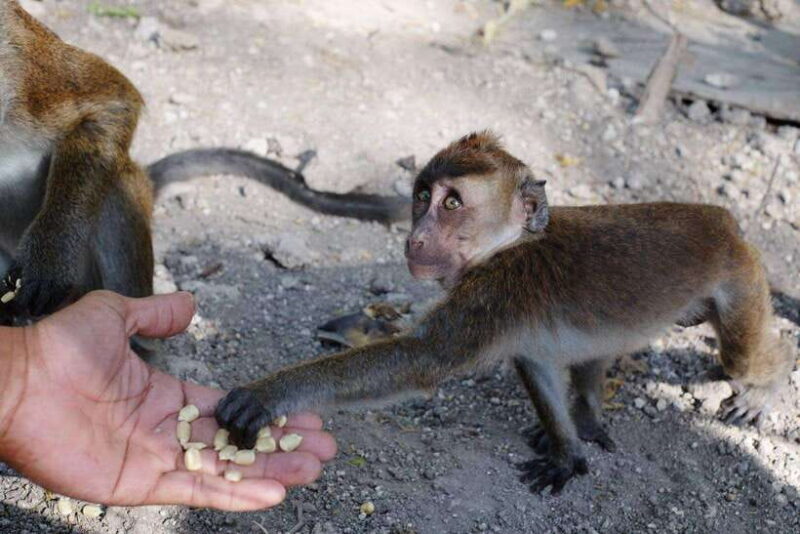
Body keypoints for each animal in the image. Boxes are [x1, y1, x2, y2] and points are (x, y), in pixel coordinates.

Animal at [215, 130, 794, 494]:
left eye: (452, 203)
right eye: (421, 195)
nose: (415, 236)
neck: (505, 247)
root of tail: (722, 219)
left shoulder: (496, 291)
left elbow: (421, 360)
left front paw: (266, 395)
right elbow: (535, 361)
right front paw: (566, 450)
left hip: (739, 279)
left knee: (744, 355)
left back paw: (767, 381)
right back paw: (586, 410)